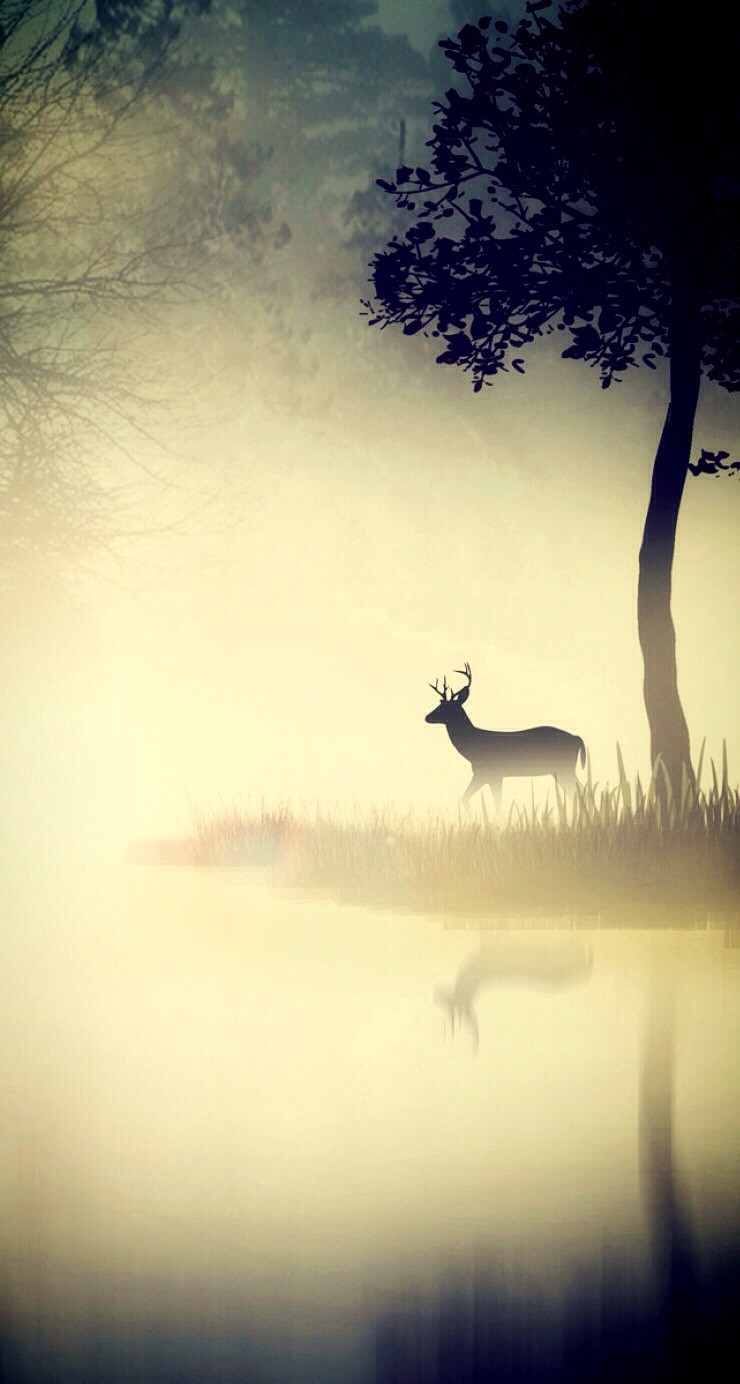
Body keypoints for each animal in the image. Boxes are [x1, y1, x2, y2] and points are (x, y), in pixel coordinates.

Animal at [426, 661, 589, 808]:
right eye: (440, 704)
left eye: (446, 707)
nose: (427, 717)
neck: (473, 747)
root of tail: (576, 738)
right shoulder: (488, 774)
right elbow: (473, 799)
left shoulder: (490, 772)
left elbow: (494, 803)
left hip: (564, 767)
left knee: (578, 790)